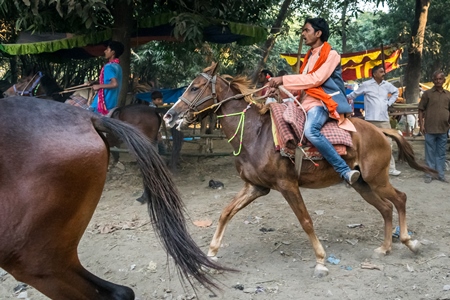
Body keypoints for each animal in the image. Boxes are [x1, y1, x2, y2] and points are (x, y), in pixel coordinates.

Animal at [163, 63, 438, 278]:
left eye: (195, 87)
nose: (169, 116)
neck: (255, 134)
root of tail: (381, 131)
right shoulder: (256, 187)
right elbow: (225, 213)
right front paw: (211, 255)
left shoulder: (288, 185)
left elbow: (306, 220)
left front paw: (320, 260)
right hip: (361, 183)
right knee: (386, 208)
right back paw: (385, 247)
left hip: (377, 179)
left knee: (400, 199)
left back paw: (409, 242)